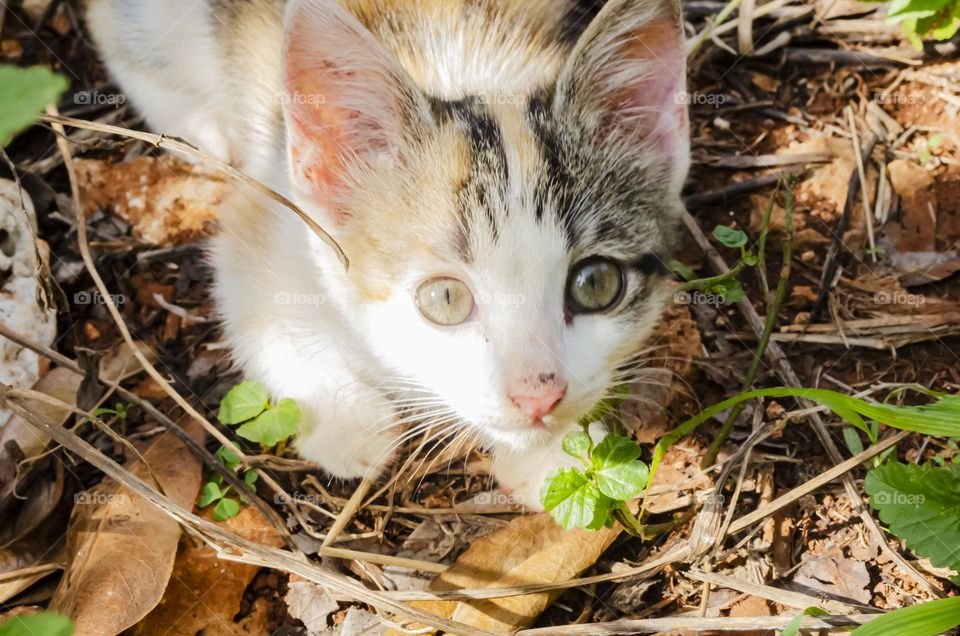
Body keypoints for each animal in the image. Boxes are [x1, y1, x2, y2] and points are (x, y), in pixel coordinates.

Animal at [86, 0, 688, 506]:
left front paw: (553, 455)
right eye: (444, 299)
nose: (538, 397)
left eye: (596, 284)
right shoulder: (269, 213)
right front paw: (350, 422)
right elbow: (259, 313)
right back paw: (198, 126)